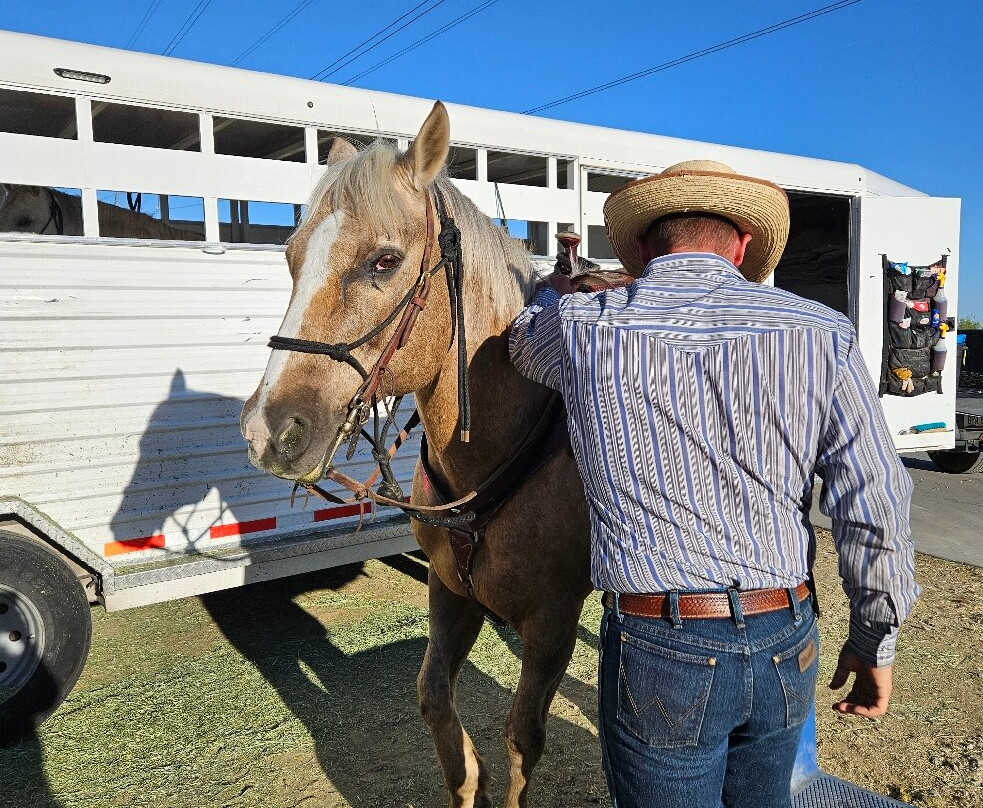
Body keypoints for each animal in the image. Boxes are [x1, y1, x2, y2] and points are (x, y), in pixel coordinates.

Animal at [241, 101, 595, 808]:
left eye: (384, 261)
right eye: (292, 257)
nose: (270, 429)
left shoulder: (553, 623)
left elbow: (523, 737)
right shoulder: (450, 590)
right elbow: (433, 699)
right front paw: (468, 781)